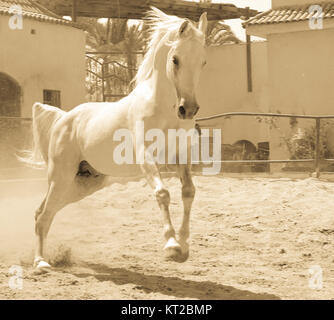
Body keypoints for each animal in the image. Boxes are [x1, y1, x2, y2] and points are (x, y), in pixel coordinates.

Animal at [20, 7, 207, 268]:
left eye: (203, 61)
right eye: (175, 59)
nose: (187, 110)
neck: (162, 108)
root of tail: (63, 118)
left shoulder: (182, 156)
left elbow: (188, 192)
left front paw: (184, 246)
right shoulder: (145, 157)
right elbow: (162, 193)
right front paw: (171, 246)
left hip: (82, 185)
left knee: (43, 212)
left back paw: (46, 259)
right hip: (61, 178)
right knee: (44, 216)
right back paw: (41, 263)